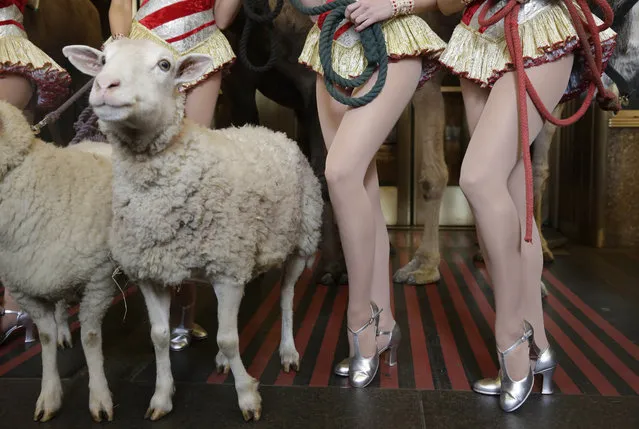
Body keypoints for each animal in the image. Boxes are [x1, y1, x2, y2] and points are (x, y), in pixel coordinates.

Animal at [0, 101, 115, 422]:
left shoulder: (99, 279)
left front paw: (99, 398)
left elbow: (90, 337)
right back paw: (64, 330)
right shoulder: (24, 289)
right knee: (62, 303)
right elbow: (46, 338)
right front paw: (49, 396)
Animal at [63, 38, 324, 420]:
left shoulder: (227, 269)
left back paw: (288, 351)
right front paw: (161, 397)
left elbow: (228, 339)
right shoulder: (151, 272)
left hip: (300, 240)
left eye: (164, 65)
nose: (105, 85)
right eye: (103, 60)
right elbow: (159, 336)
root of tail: (268, 131)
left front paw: (247, 396)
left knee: (286, 297)